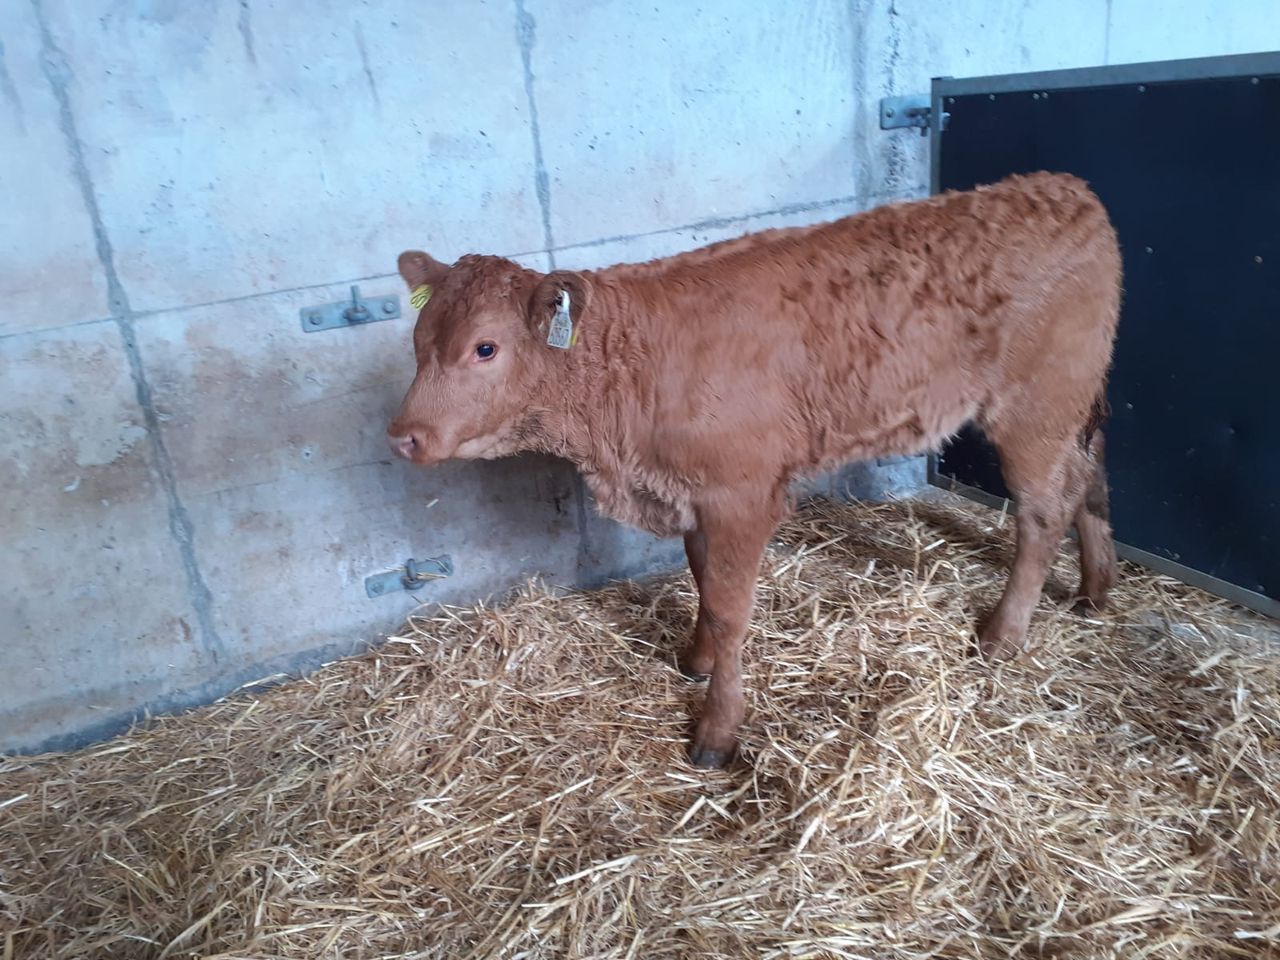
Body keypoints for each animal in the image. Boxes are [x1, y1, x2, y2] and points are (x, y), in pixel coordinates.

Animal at [386, 171, 1122, 768]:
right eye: (419, 340)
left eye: (485, 348)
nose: (403, 437)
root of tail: (1064, 188)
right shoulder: (690, 494)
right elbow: (703, 585)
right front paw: (694, 661)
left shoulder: (741, 495)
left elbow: (731, 609)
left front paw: (717, 730)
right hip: (1073, 406)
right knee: (1090, 475)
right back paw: (1095, 589)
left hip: (1035, 407)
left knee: (1043, 510)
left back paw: (1003, 634)